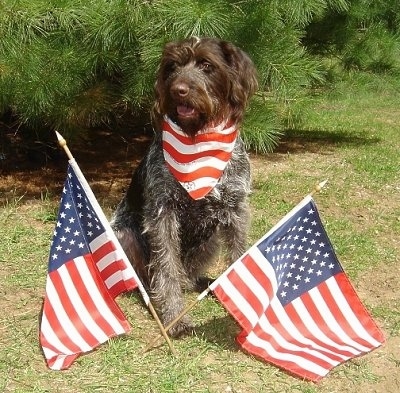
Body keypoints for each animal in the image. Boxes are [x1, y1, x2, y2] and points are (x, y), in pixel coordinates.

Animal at [111, 36, 258, 336]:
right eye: (172, 67)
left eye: (206, 65)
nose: (177, 91)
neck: (198, 140)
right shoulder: (162, 213)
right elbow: (166, 267)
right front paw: (175, 317)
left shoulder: (236, 210)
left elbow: (238, 254)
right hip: (124, 235)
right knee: (151, 277)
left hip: (211, 240)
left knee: (187, 275)